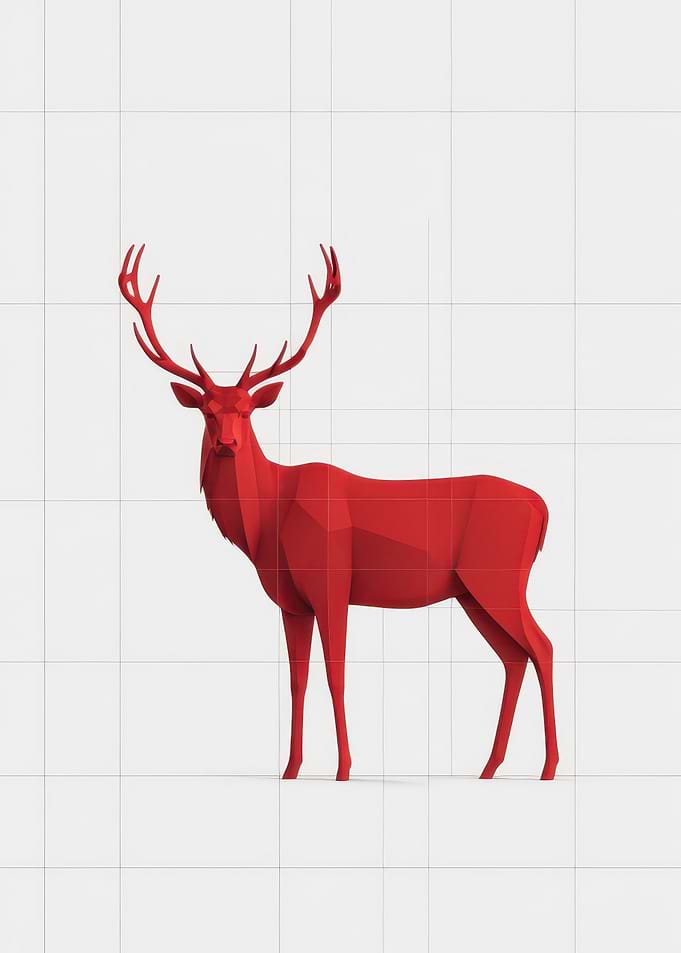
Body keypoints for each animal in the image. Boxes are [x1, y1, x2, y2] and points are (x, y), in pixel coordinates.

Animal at [119, 244, 558, 782]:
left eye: (247, 410)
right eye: (207, 409)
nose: (227, 443)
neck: (267, 522)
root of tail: (542, 508)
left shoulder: (331, 582)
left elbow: (335, 673)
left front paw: (344, 769)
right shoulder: (291, 601)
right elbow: (297, 680)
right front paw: (290, 769)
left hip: (497, 579)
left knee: (542, 647)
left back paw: (548, 767)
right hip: (472, 593)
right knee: (514, 658)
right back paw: (489, 767)